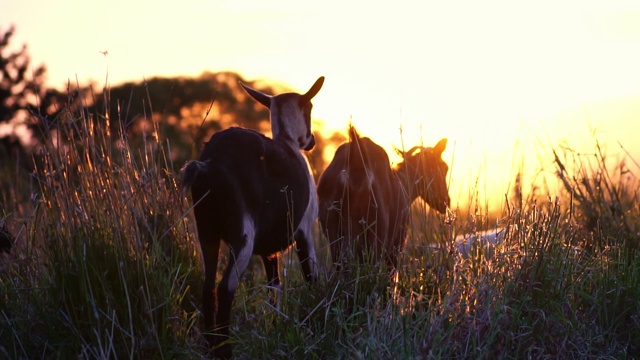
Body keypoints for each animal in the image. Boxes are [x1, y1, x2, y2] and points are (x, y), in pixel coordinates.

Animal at [182, 75, 328, 358]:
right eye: (310, 107)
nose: (312, 140)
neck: (287, 141)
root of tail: (208, 164)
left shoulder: (269, 251)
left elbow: (274, 289)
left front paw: (275, 328)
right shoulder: (305, 234)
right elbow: (311, 279)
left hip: (208, 237)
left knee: (207, 288)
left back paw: (210, 346)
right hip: (241, 240)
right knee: (225, 288)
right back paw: (224, 350)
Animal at [316, 125, 448, 272]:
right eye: (443, 167)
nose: (446, 201)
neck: (404, 184)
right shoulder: (397, 243)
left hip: (334, 229)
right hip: (376, 233)